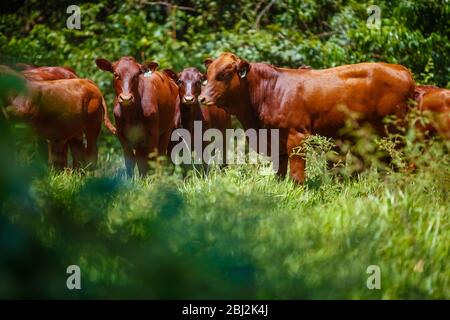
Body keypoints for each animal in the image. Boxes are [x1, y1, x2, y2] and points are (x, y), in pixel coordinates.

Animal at [199, 52, 416, 182]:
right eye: (207, 74)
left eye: (226, 74)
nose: (202, 98)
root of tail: (403, 70)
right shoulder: (277, 141)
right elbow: (280, 171)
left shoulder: (297, 137)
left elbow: (296, 174)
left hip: (397, 135)